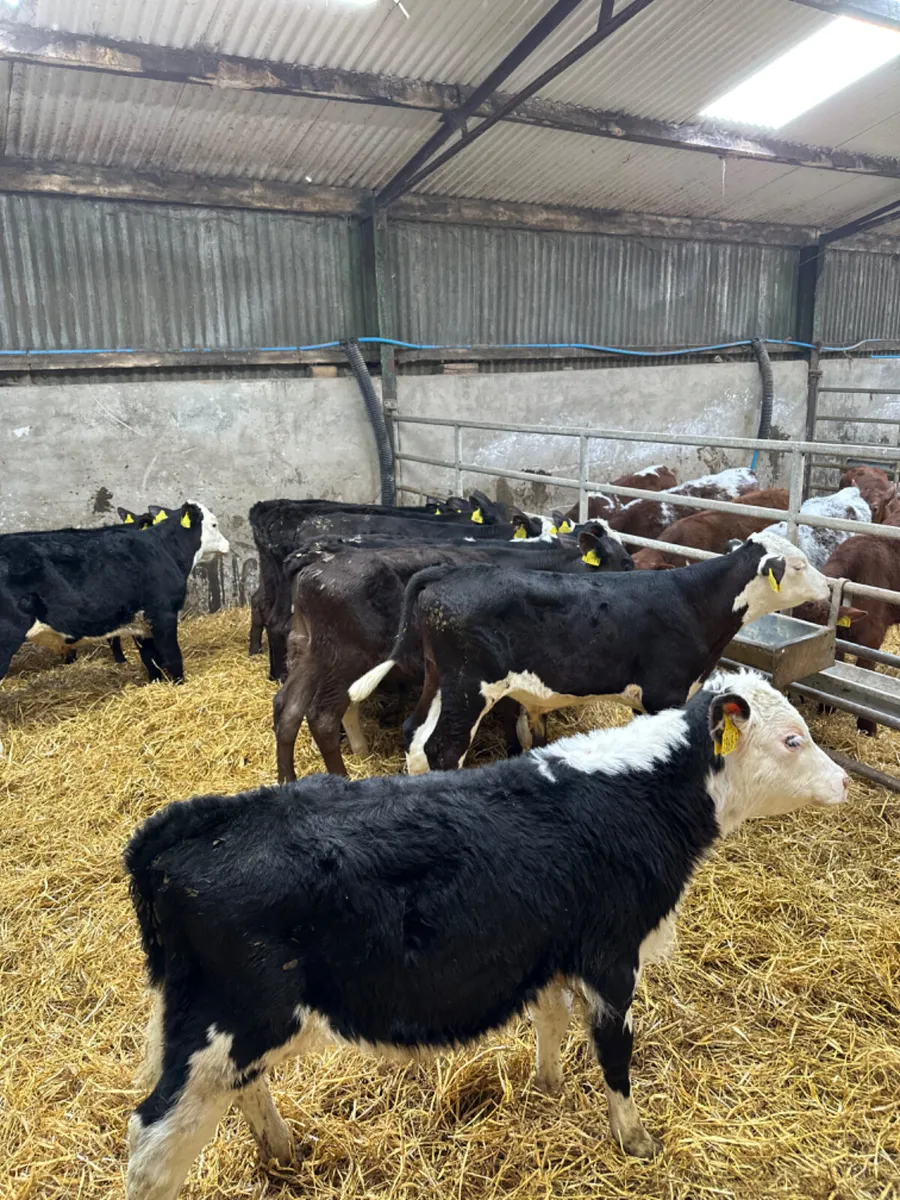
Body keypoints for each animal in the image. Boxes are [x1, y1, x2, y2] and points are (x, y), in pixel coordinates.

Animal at [0, 502, 229, 685]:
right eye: (214, 524)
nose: (227, 544)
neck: (164, 549)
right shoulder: (162, 613)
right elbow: (172, 655)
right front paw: (179, 684)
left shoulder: (140, 623)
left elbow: (150, 658)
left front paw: (155, 683)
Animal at [123, 671, 847, 1200]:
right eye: (793, 739)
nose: (844, 782)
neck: (635, 793)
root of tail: (188, 823)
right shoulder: (612, 958)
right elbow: (615, 1054)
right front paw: (634, 1140)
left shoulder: (550, 946)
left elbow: (551, 1019)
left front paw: (549, 1089)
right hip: (224, 1027)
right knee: (152, 1146)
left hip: (229, 1032)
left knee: (241, 1091)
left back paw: (284, 1150)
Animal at [274, 524, 633, 778]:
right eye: (626, 561)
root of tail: (316, 563)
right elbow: (515, 715)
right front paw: (515, 748)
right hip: (346, 657)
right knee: (322, 718)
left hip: (305, 648)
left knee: (287, 708)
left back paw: (287, 779)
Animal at [353, 530, 828, 774]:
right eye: (800, 565)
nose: (829, 586)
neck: (693, 600)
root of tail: (448, 572)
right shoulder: (665, 692)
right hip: (470, 686)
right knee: (442, 748)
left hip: (439, 678)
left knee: (415, 734)